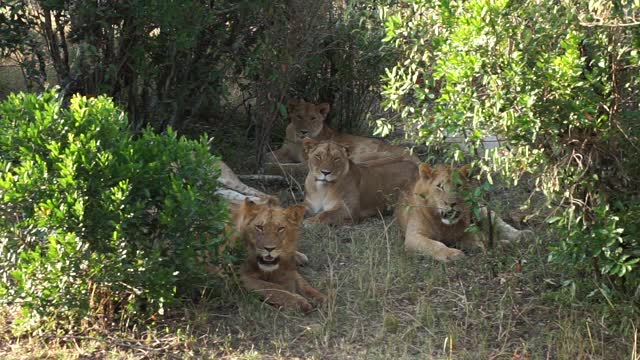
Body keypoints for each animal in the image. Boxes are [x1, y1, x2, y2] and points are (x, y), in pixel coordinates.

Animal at [268, 100, 418, 165]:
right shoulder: (285, 150)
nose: (303, 131)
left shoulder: (306, 158)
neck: (297, 142)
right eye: (298, 116)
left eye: (313, 118)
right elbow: (269, 155)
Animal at [398, 163, 532, 262]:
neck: (443, 225)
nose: (451, 203)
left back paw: (521, 236)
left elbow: (479, 240)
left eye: (458, 185)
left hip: (481, 210)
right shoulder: (413, 237)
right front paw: (452, 254)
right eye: (439, 186)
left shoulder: (466, 232)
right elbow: (434, 245)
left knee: (501, 227)